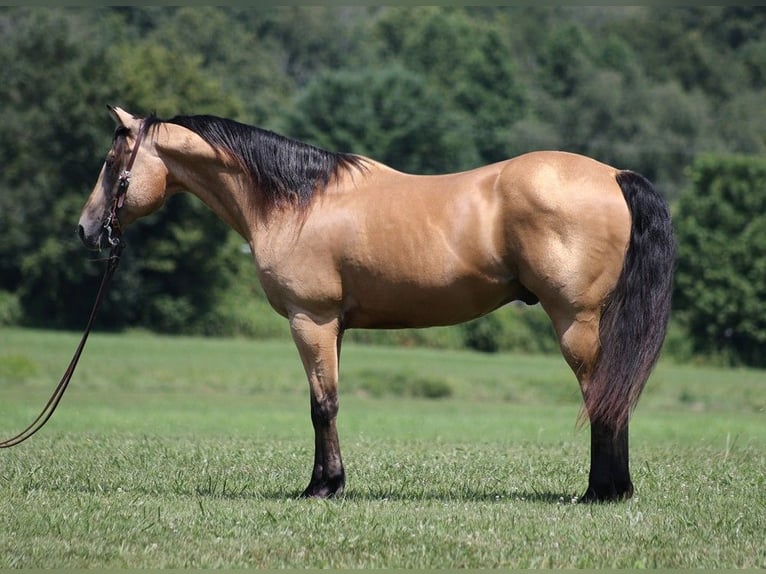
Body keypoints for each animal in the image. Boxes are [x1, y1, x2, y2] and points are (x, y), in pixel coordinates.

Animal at [78, 108, 676, 504]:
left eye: (110, 162)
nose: (86, 229)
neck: (297, 202)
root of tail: (613, 175)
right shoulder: (334, 326)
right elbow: (325, 402)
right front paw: (326, 481)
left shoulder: (311, 320)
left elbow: (322, 406)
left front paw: (322, 488)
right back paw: (614, 490)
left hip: (575, 321)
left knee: (602, 396)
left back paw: (601, 492)